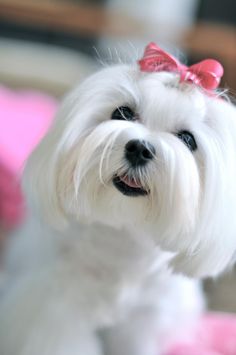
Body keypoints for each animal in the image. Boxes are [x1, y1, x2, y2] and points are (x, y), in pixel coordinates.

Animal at [0, 43, 236, 355]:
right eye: (122, 112)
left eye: (188, 139)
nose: (140, 148)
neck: (123, 236)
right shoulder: (57, 307)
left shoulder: (145, 319)